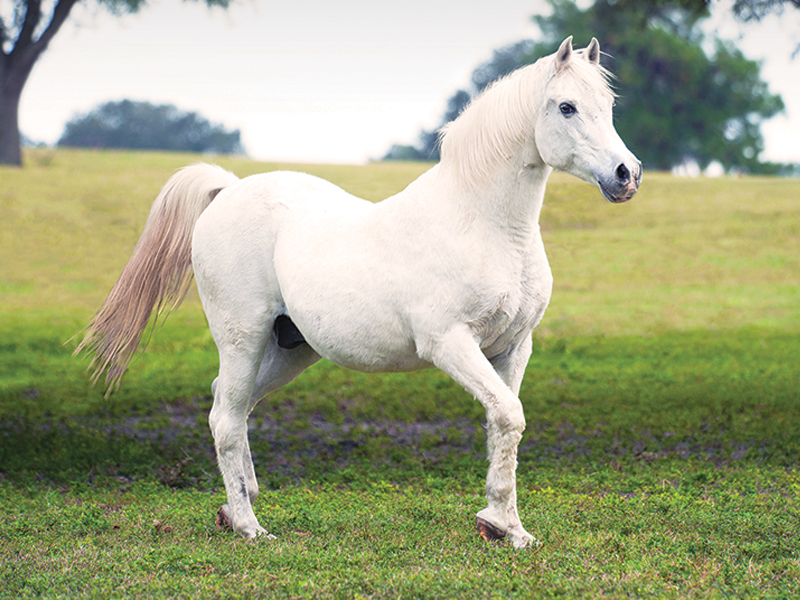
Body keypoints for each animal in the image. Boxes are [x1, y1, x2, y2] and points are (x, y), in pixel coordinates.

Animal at [78, 36, 641, 549]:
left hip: (290, 348)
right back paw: (250, 527)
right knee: (226, 419)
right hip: (242, 337)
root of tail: (229, 189)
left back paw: (237, 505)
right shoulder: (450, 344)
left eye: (609, 105)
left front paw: (506, 527)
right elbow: (508, 415)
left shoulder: (513, 347)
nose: (626, 175)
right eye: (566, 106)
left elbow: (501, 423)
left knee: (231, 407)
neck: (487, 226)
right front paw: (501, 525)